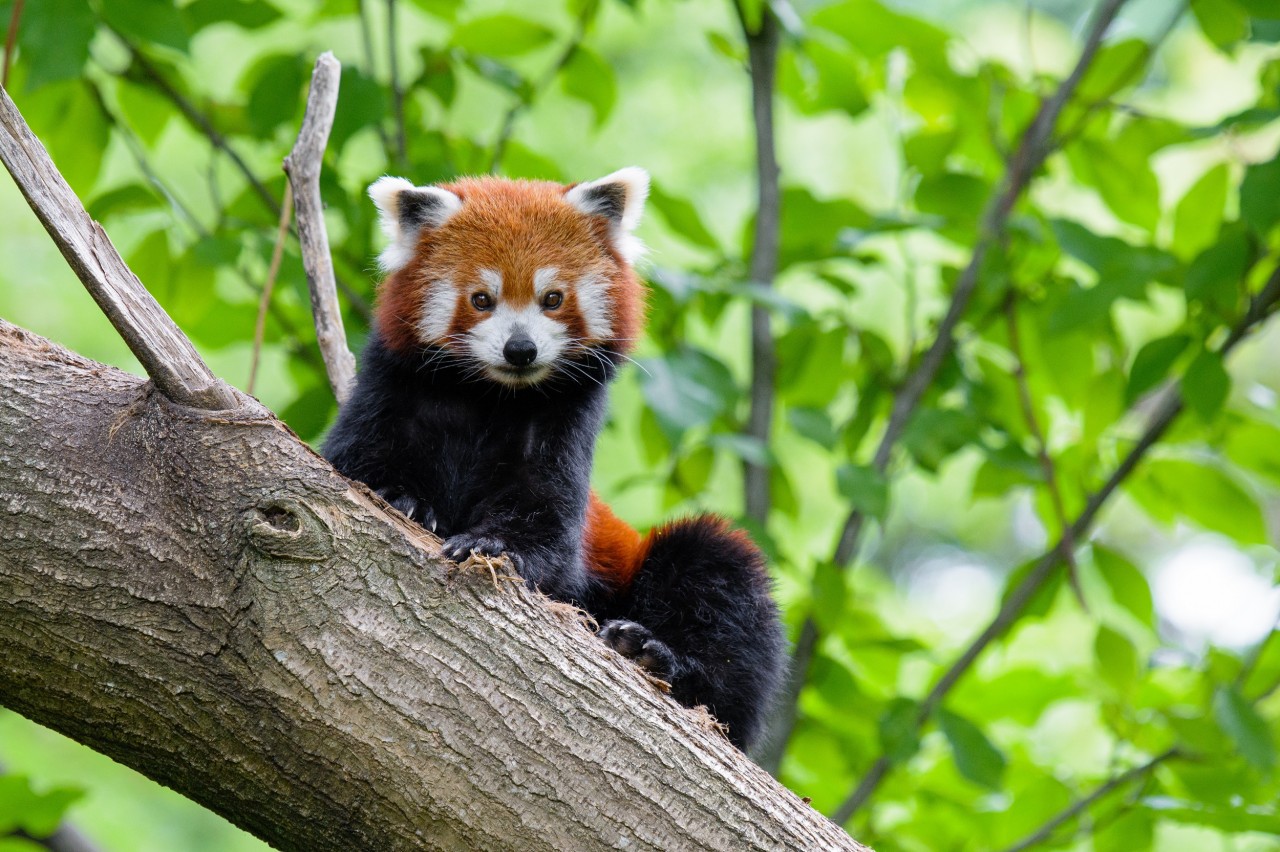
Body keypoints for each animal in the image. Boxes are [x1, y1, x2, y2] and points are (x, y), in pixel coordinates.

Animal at [325, 167, 783, 752]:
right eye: (481, 298)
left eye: (553, 297)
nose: (520, 350)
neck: (491, 397)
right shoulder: (391, 393)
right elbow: (357, 460)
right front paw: (399, 496)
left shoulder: (561, 432)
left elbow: (546, 528)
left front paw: (491, 544)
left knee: (718, 576)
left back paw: (655, 655)